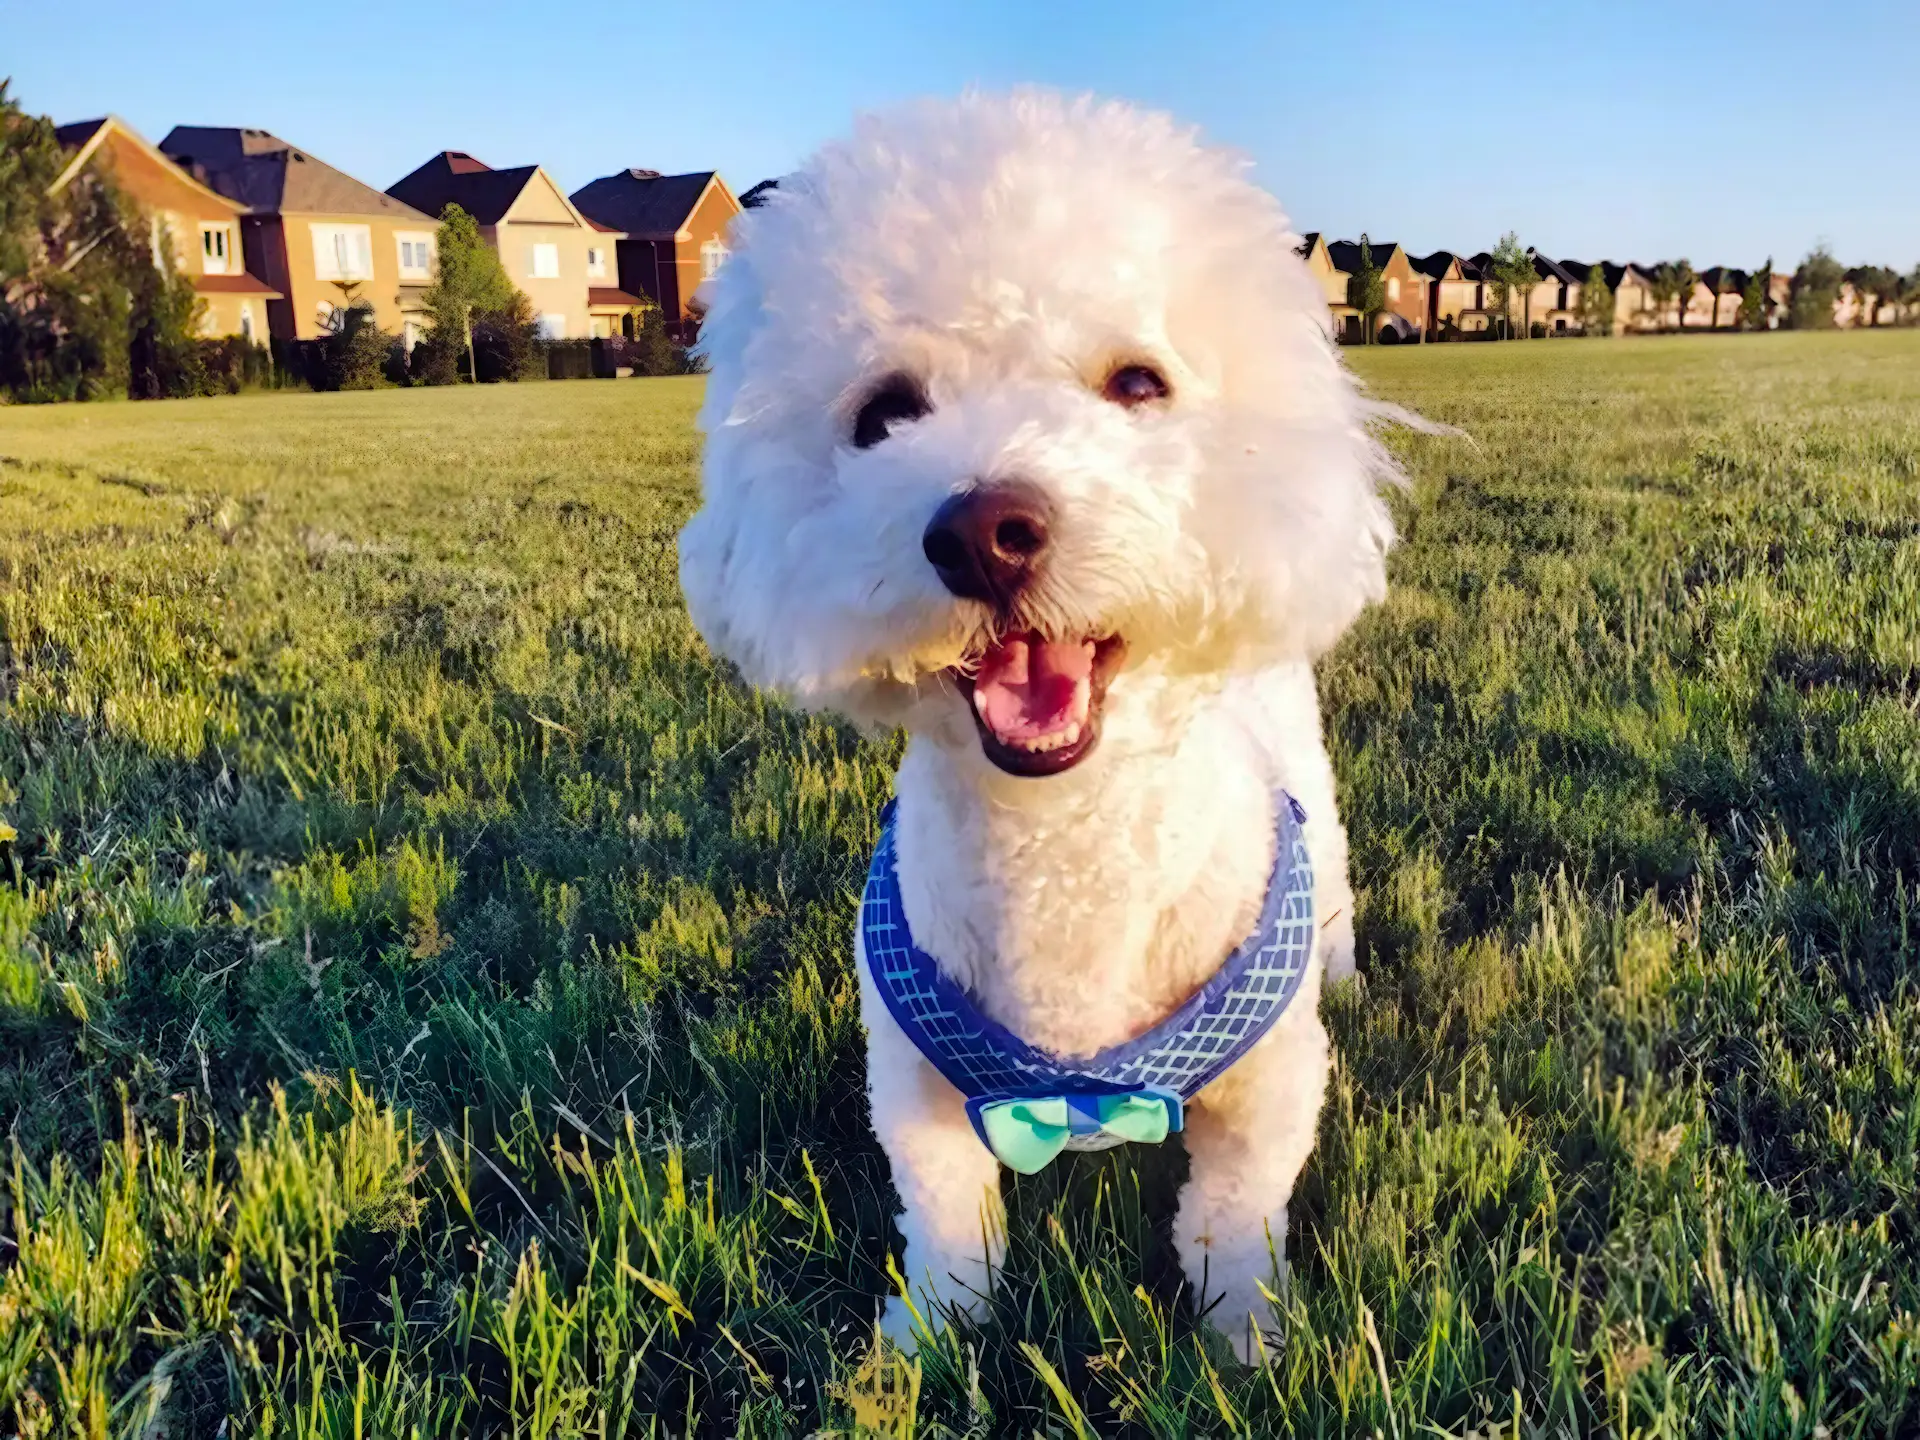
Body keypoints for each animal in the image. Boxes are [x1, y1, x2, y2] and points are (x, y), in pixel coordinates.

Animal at [683, 87, 1405, 1367]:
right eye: (883, 413)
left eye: (1138, 383)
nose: (983, 531)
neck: (1062, 844)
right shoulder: (912, 1088)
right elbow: (947, 1222)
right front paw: (921, 1350)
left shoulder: (1266, 1093)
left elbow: (1234, 1214)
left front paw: (1246, 1346)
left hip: (1315, 813)